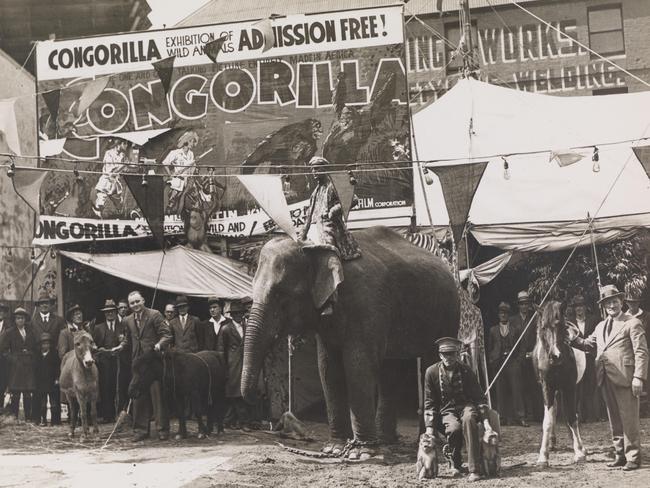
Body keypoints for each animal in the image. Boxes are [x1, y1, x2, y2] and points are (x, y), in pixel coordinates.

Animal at [240, 225, 458, 458]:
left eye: (282, 294)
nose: (260, 399)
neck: (318, 248)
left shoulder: (367, 303)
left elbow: (357, 365)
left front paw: (360, 453)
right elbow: (328, 368)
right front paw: (334, 448)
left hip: (447, 312)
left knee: (429, 363)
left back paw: (428, 441)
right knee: (390, 369)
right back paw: (387, 441)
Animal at [532, 302, 588, 466]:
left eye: (560, 326)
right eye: (543, 327)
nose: (555, 356)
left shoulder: (570, 386)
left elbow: (571, 417)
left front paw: (579, 452)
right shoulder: (547, 387)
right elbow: (548, 420)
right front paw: (543, 456)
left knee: (572, 415)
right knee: (555, 411)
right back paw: (552, 442)